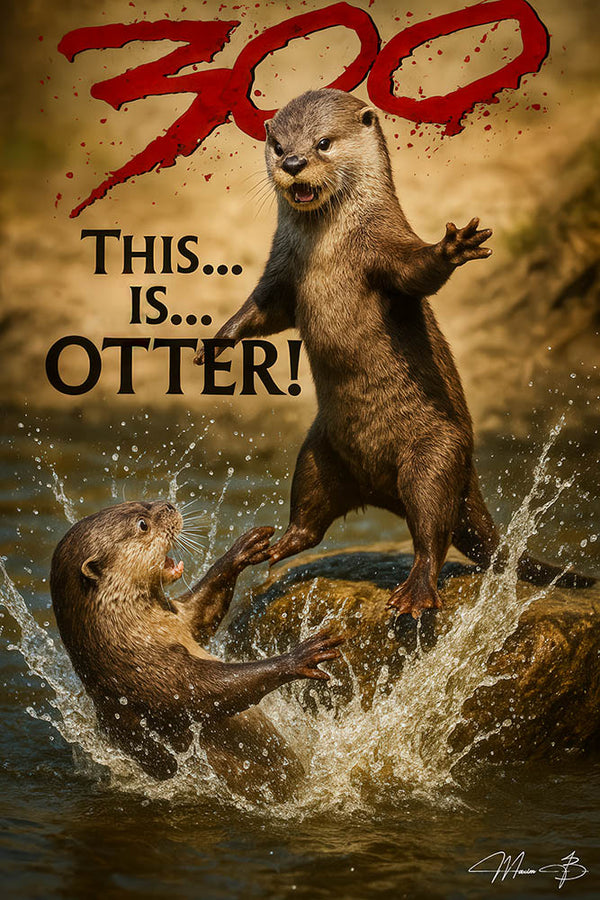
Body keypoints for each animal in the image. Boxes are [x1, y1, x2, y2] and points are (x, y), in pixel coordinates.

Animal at [50, 500, 342, 796]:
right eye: (143, 524)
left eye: (139, 502)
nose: (168, 505)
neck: (126, 634)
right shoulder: (144, 672)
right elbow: (208, 691)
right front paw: (298, 658)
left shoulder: (181, 617)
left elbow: (202, 611)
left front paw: (242, 550)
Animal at [194, 89, 594, 617]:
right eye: (279, 146)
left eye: (323, 143)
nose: (294, 163)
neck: (330, 249)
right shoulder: (281, 270)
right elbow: (262, 311)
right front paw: (217, 342)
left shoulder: (384, 248)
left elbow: (416, 273)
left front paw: (452, 247)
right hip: (319, 452)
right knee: (309, 520)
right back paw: (268, 547)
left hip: (434, 455)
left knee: (431, 532)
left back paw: (416, 592)